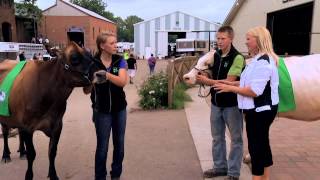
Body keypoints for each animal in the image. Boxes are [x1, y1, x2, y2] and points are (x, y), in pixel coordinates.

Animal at [0, 41, 94, 179]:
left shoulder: (57, 125)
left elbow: (52, 152)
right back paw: (6, 155)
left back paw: (21, 152)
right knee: (6, 132)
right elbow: (32, 154)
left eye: (89, 54)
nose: (102, 72)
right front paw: (29, 175)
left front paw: (53, 174)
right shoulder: (28, 127)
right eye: (74, 58)